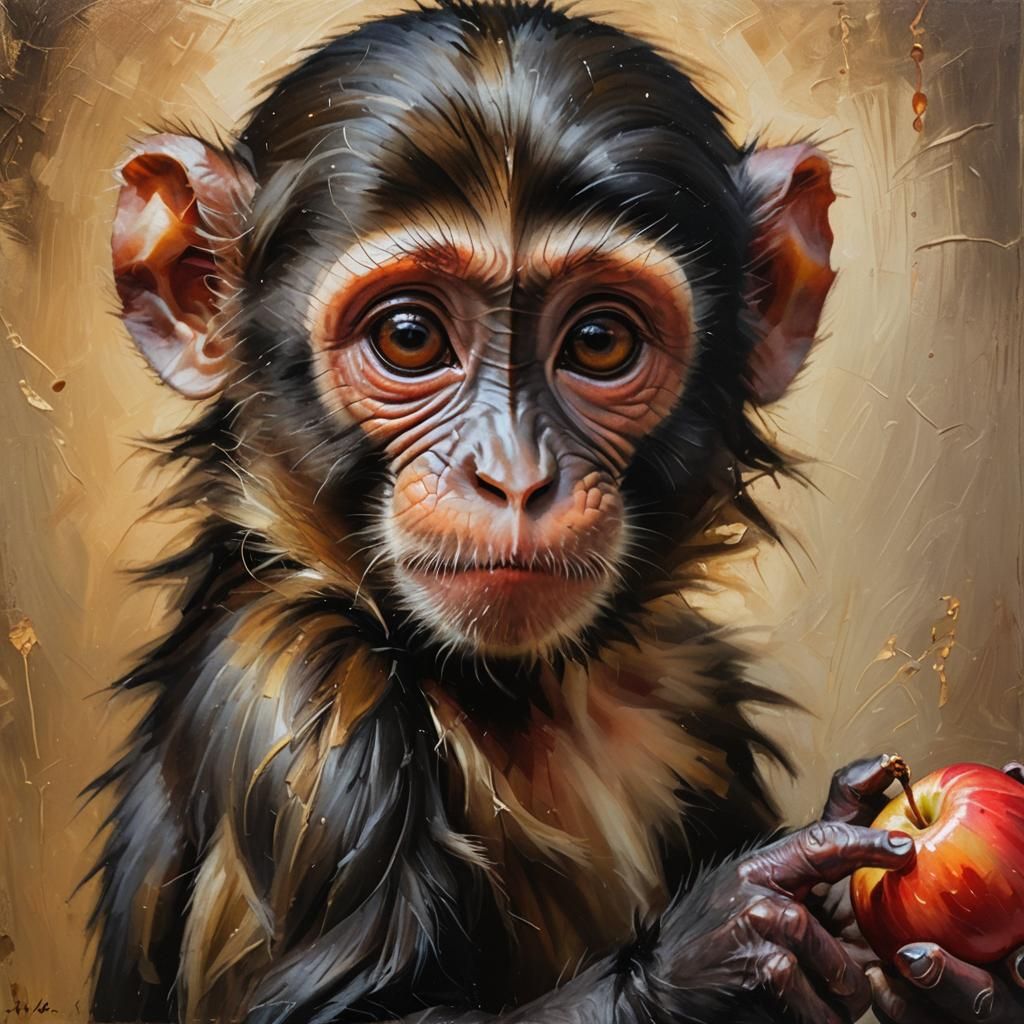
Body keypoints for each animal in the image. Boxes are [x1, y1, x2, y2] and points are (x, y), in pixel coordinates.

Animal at [85, 3, 1024, 1024]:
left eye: (600, 341)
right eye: (408, 337)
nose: (514, 478)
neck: (520, 693)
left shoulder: (698, 689)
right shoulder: (297, 706)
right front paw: (728, 944)